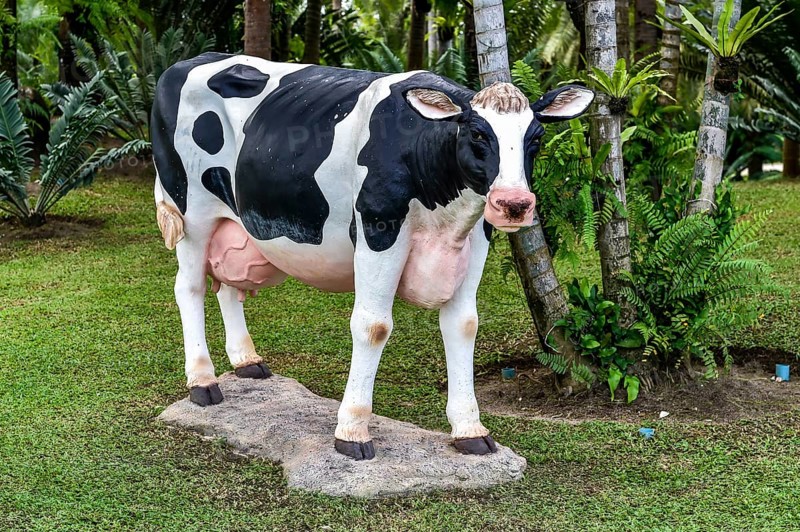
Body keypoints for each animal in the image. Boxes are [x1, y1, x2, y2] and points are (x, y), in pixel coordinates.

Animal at [152, 52, 593, 460]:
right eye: (477, 134)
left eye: (536, 137)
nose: (514, 204)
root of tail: (188, 62)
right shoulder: (379, 229)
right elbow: (374, 326)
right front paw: (352, 431)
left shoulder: (478, 237)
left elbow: (464, 324)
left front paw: (469, 429)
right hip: (191, 212)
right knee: (189, 287)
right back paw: (203, 381)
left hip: (241, 224)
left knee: (229, 286)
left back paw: (246, 361)